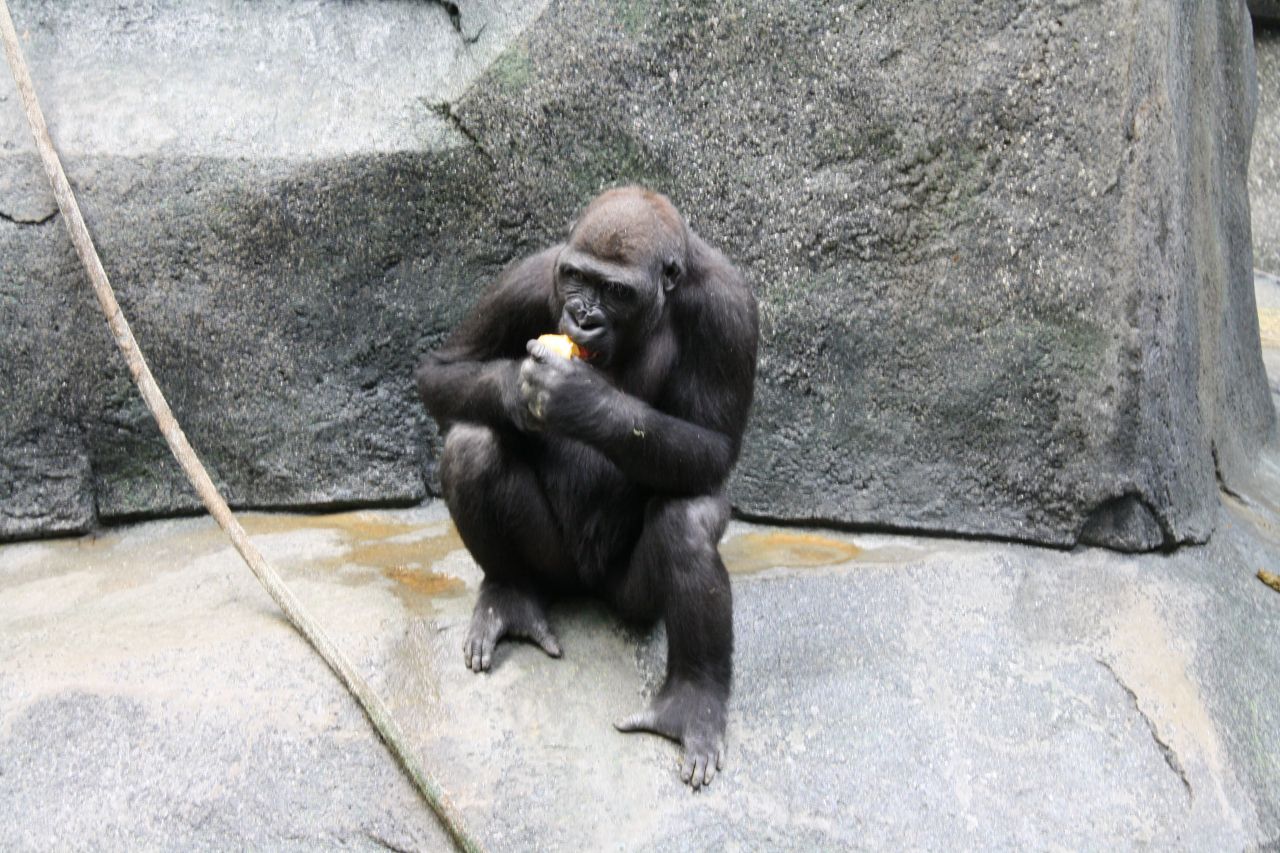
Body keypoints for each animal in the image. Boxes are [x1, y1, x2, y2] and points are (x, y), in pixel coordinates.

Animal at [417, 184, 757, 783]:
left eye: (616, 291)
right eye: (576, 277)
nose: (581, 316)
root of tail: (588, 585)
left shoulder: (729, 308)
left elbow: (714, 449)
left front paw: (580, 399)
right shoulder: (530, 277)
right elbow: (442, 371)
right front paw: (516, 387)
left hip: (626, 594)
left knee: (688, 519)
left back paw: (693, 698)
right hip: (552, 566)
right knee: (471, 444)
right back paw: (508, 597)